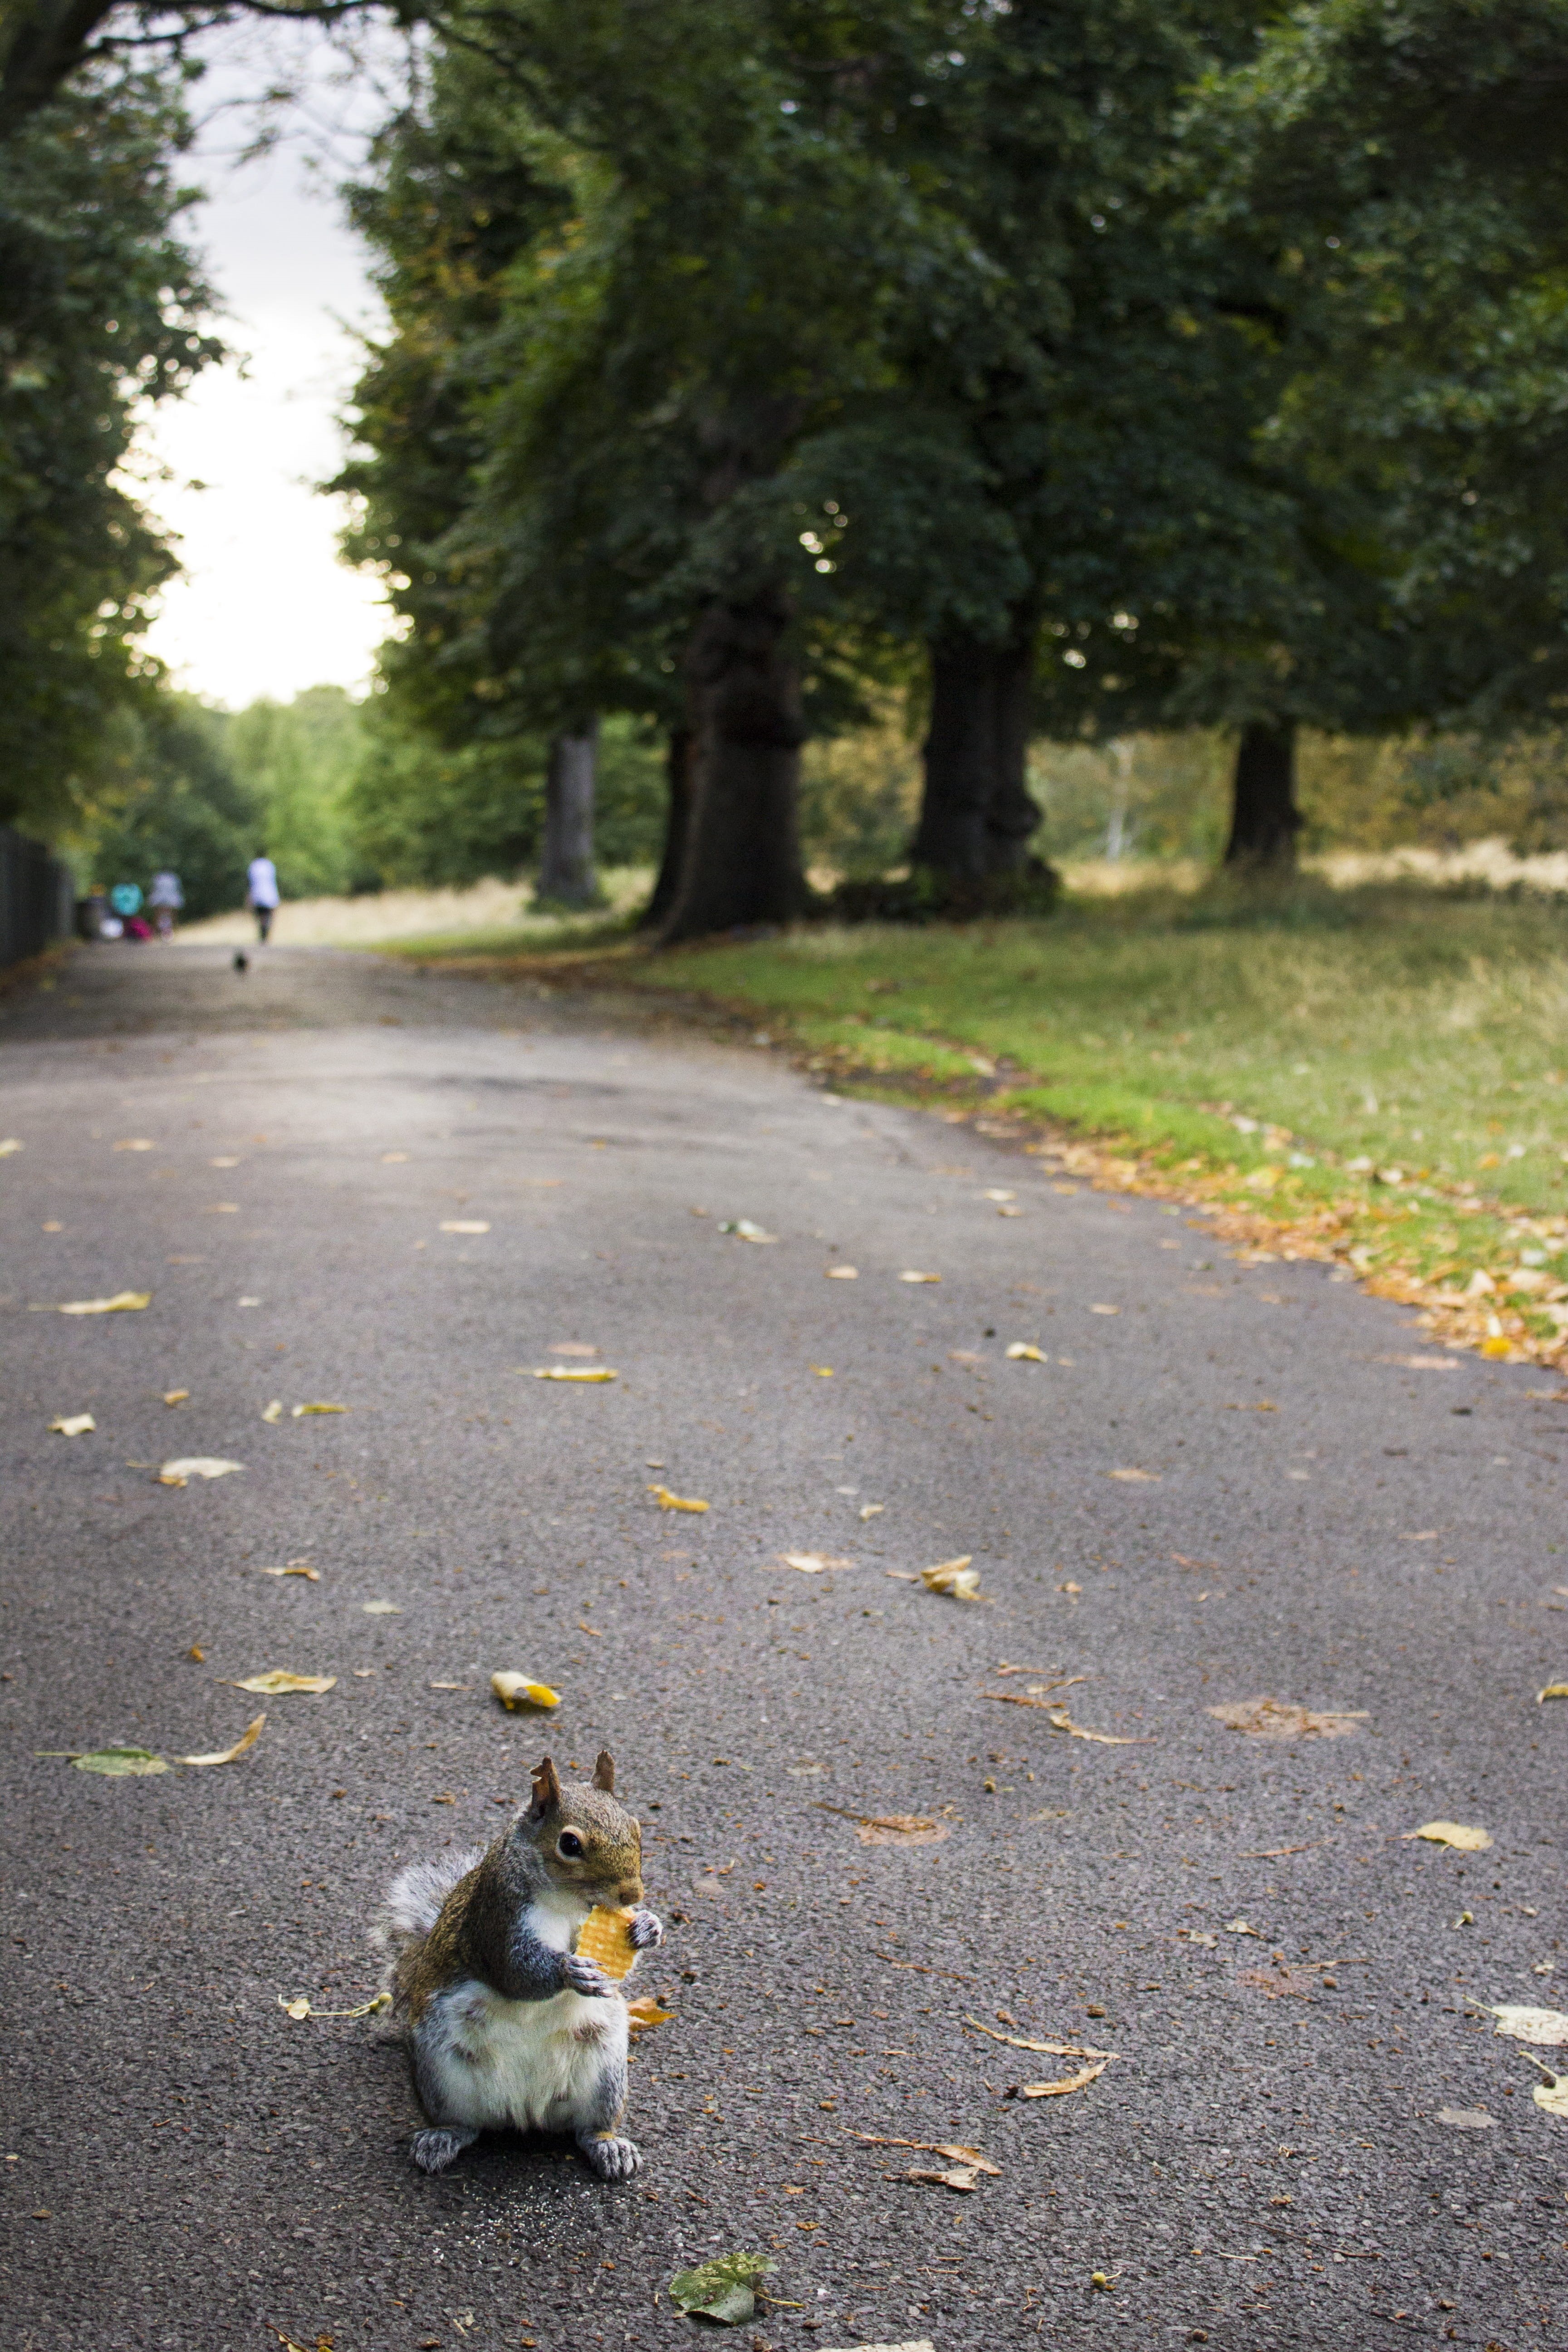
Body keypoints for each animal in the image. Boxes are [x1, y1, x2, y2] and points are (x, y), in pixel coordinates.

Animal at [376, 1750, 664, 2180]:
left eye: (636, 1827)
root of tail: (525, 2112)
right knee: (463, 2124)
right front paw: (569, 1971)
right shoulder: (496, 1918)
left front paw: (648, 1926)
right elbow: (515, 1972)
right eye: (569, 1843)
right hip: (439, 2071)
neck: (566, 1901)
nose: (632, 1894)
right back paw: (441, 2139)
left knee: (588, 2129)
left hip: (606, 2074)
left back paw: (609, 2145)